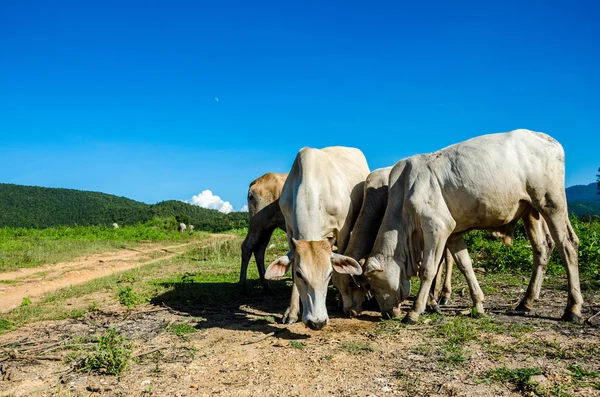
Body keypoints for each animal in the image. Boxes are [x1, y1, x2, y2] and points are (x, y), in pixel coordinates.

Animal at [264, 145, 368, 328]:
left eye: (329, 274)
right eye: (300, 274)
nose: (317, 322)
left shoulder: (343, 228)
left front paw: (344, 302)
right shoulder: (290, 229)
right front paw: (291, 311)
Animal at [360, 128, 580, 324]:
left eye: (374, 286)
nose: (386, 313)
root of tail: (547, 138)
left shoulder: (437, 227)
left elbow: (428, 269)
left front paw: (414, 312)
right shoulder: (453, 233)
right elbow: (465, 265)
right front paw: (478, 304)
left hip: (552, 202)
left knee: (567, 244)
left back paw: (573, 309)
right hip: (530, 210)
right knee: (542, 248)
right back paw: (526, 302)